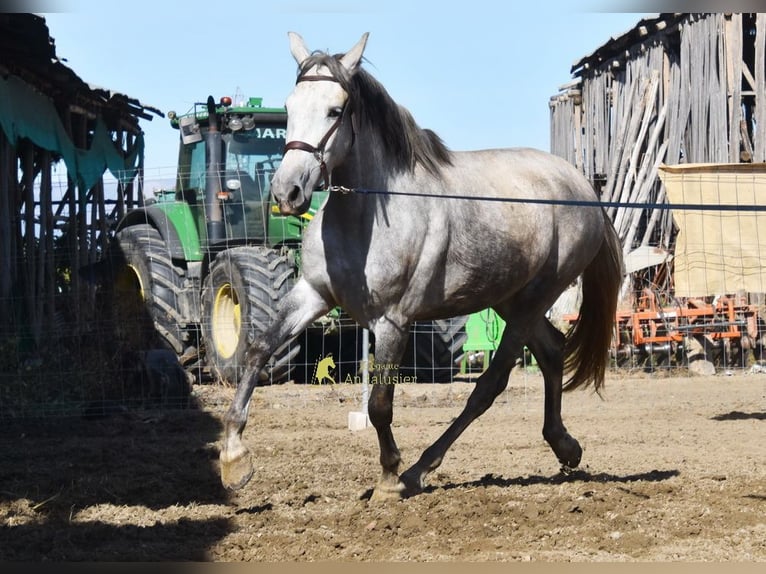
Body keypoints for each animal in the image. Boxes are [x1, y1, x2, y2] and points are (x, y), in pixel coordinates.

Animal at [219, 32, 624, 500]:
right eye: (289, 106)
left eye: (335, 110)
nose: (288, 192)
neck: (367, 216)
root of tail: (581, 187)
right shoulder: (314, 293)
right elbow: (258, 348)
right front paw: (233, 458)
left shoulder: (392, 321)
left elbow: (379, 403)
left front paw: (388, 478)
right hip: (510, 299)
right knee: (553, 351)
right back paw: (564, 446)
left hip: (534, 300)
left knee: (490, 384)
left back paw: (419, 469)